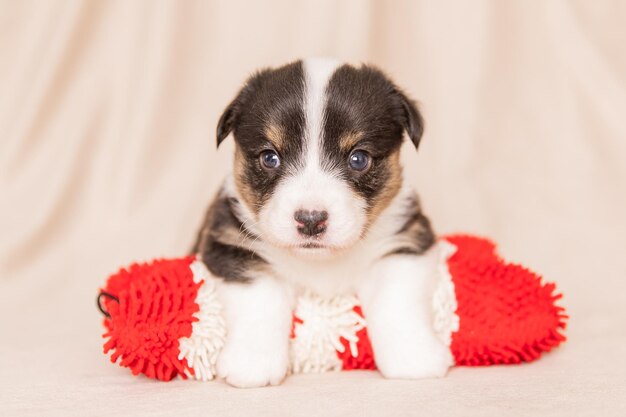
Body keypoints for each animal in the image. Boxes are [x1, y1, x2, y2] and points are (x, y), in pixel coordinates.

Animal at [193, 58, 450, 386]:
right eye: (269, 158)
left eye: (358, 159)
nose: (311, 221)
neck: (321, 262)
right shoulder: (231, 243)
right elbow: (261, 298)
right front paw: (253, 363)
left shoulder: (404, 241)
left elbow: (396, 299)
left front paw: (414, 357)